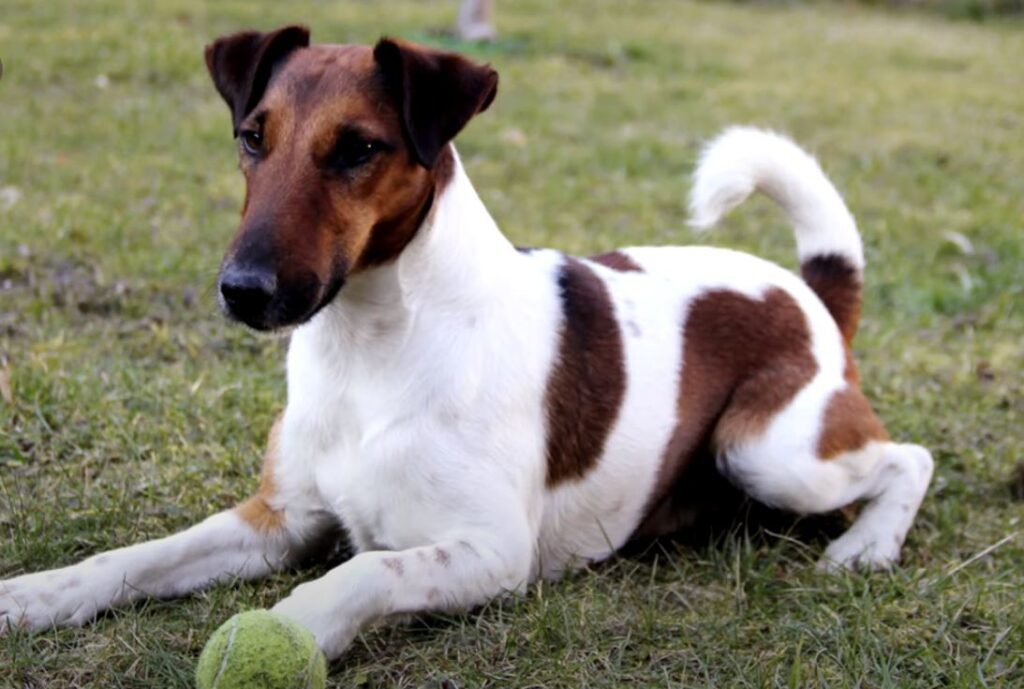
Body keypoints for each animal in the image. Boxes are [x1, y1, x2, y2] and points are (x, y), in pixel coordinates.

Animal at [0, 25, 933, 659]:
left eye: (358, 149)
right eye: (252, 137)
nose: (243, 290)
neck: (370, 348)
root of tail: (811, 291)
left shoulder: (491, 550)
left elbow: (362, 570)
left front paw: (290, 625)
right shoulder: (275, 518)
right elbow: (137, 555)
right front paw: (37, 592)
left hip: (770, 449)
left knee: (909, 457)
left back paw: (866, 545)